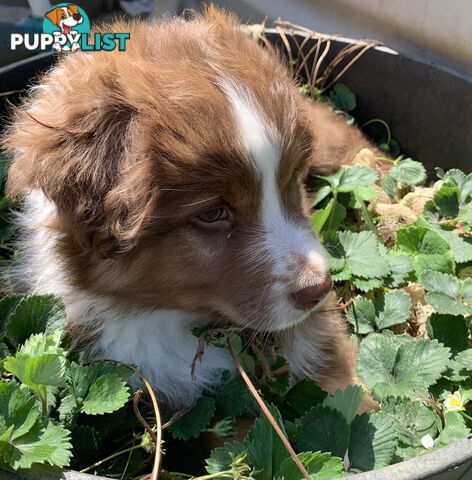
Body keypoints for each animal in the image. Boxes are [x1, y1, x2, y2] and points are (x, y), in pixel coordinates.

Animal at [2, 8, 380, 408]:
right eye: (212, 213)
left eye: (290, 180)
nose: (318, 289)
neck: (177, 315)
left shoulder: (314, 334)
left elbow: (343, 390)